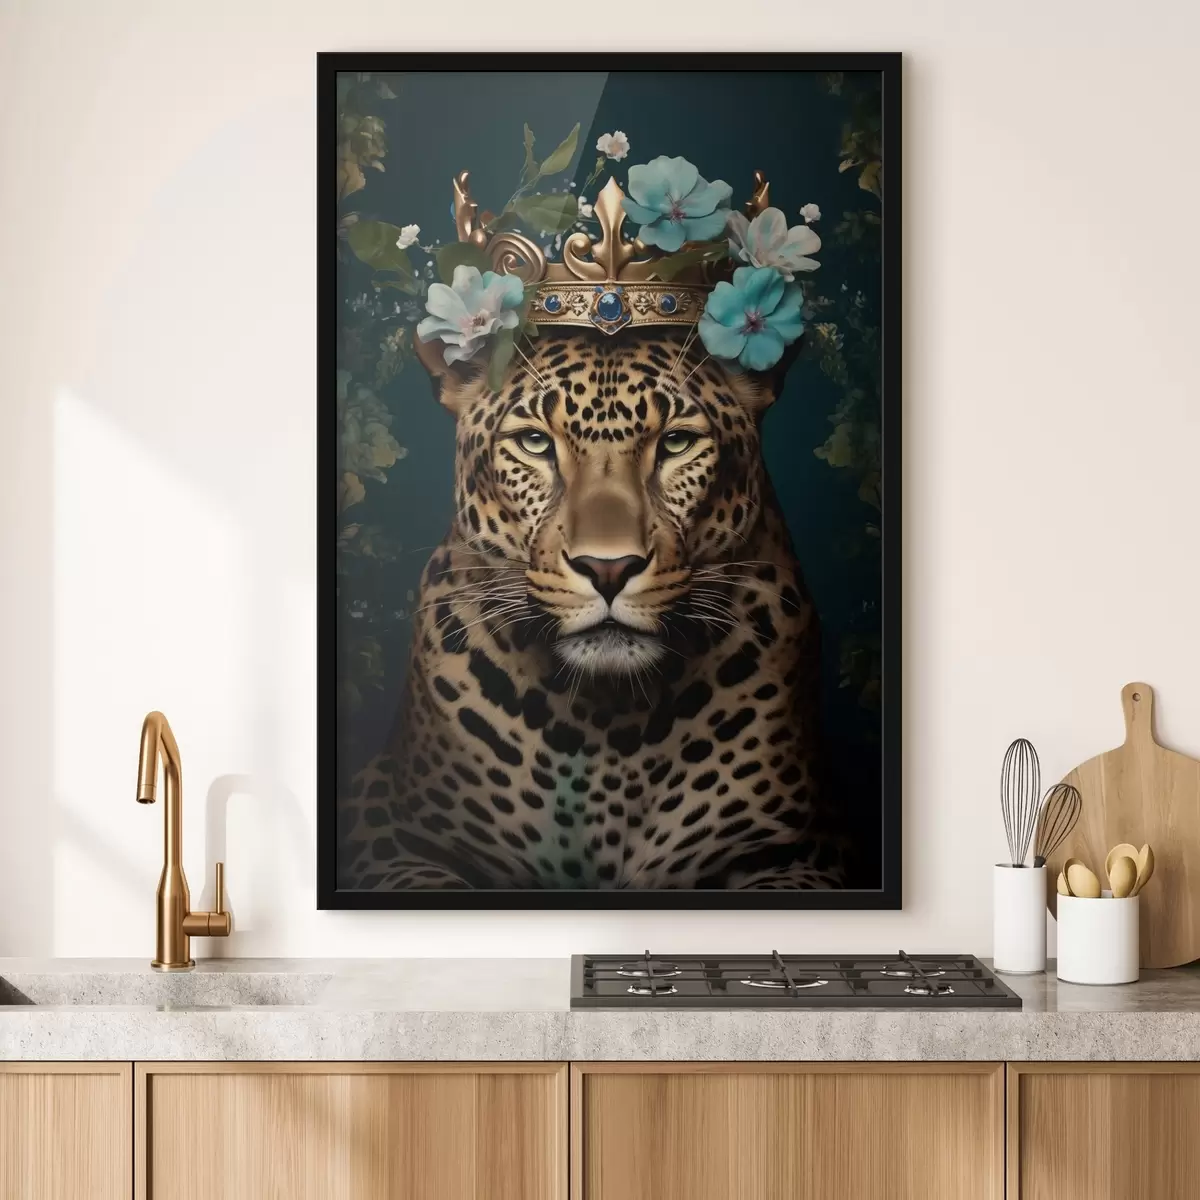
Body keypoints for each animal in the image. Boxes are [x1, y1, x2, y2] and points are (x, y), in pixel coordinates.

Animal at [336, 324, 843, 891]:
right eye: (535, 443)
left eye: (676, 443)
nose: (608, 569)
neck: (608, 721)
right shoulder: (392, 831)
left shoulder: (801, 851)